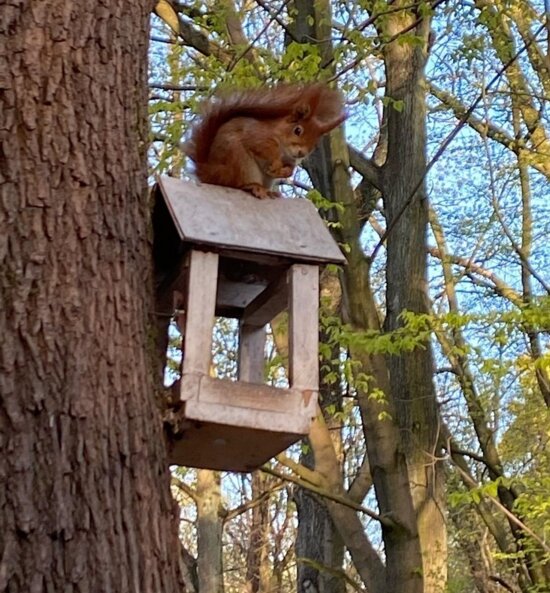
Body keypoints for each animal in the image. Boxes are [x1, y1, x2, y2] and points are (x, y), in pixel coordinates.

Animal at [188, 82, 348, 199]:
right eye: (297, 130)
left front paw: (286, 172)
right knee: (237, 183)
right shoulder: (258, 136)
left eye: (315, 144)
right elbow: (262, 149)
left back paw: (270, 191)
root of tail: (208, 172)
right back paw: (254, 187)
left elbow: (288, 168)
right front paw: (275, 163)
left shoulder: (290, 160)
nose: (301, 153)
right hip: (240, 162)